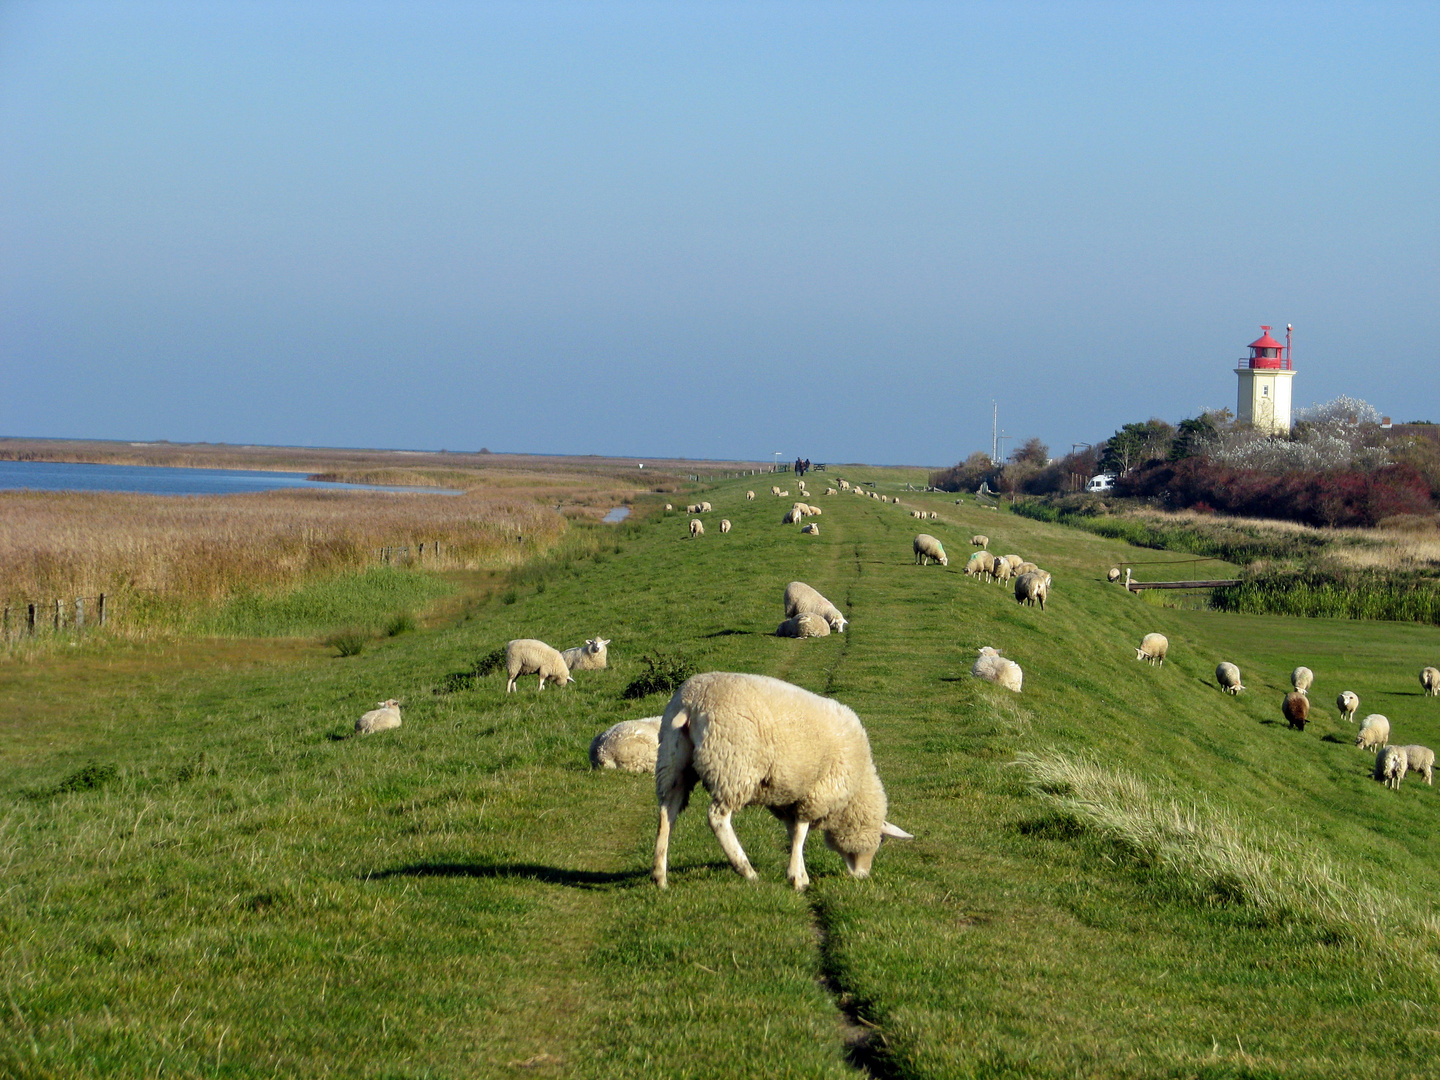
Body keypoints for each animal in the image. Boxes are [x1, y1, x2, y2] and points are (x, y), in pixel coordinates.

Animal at [653, 673, 910, 892]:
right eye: (881, 840)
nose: (863, 875)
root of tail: (691, 702)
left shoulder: (788, 798)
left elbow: (793, 833)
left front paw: (801, 873)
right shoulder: (816, 793)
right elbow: (800, 833)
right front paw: (797, 878)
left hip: (672, 761)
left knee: (668, 811)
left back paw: (660, 875)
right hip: (734, 764)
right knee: (717, 817)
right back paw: (746, 870)